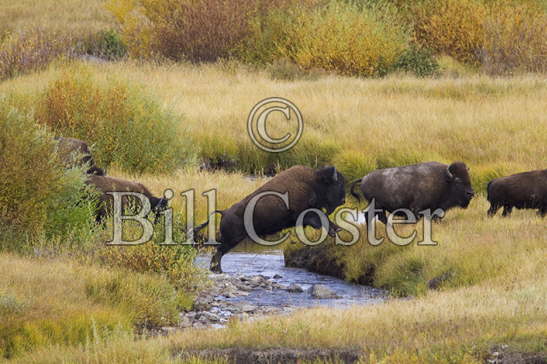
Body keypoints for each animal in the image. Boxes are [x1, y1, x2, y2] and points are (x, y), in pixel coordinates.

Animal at [195, 166, 344, 272]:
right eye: (337, 184)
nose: (343, 200)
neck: (313, 182)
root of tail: (225, 212)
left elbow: (326, 219)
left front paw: (337, 229)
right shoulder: (307, 214)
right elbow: (322, 220)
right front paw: (333, 231)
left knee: (218, 252)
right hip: (231, 240)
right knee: (219, 252)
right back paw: (218, 270)